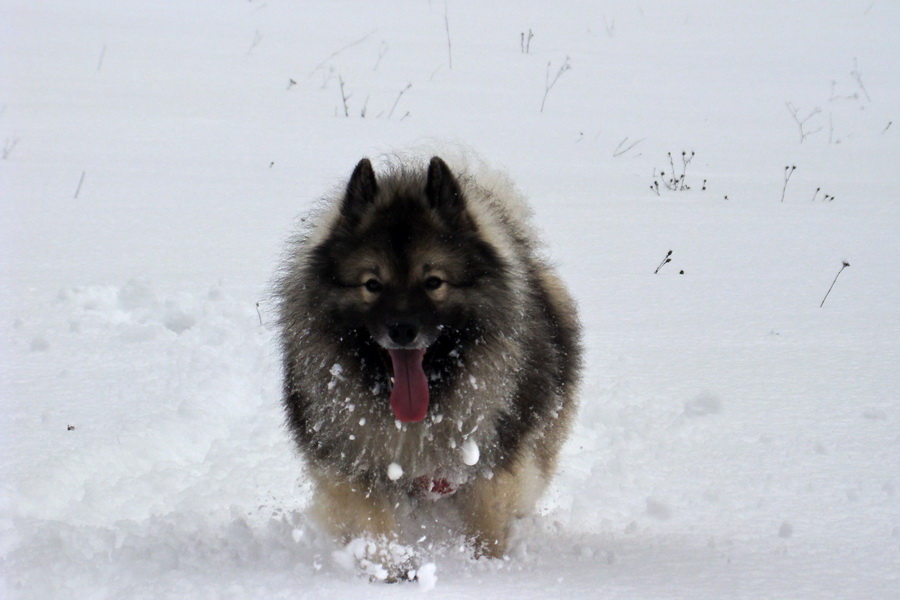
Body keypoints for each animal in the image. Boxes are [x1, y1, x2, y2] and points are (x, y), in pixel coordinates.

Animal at [276, 151, 584, 572]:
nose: (402, 329)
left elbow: (487, 522)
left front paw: (487, 568)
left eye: (434, 281)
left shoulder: (490, 463)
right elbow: (372, 521)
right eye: (372, 284)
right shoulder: (354, 465)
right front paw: (388, 566)